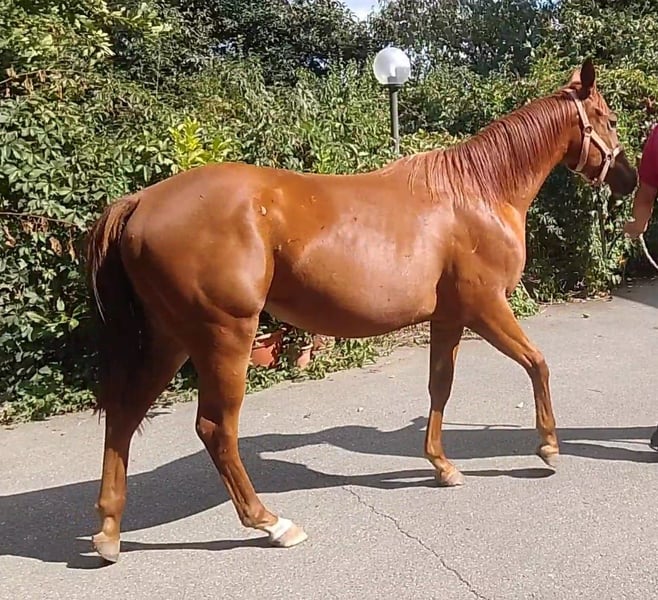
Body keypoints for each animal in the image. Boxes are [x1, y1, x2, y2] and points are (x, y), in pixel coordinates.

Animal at [85, 58, 637, 562]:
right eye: (608, 118)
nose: (630, 179)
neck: (477, 192)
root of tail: (139, 202)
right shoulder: (485, 308)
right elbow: (537, 364)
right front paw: (548, 447)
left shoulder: (449, 317)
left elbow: (440, 387)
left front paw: (442, 465)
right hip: (224, 337)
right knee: (215, 429)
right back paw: (270, 523)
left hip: (171, 339)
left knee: (126, 413)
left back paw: (109, 531)